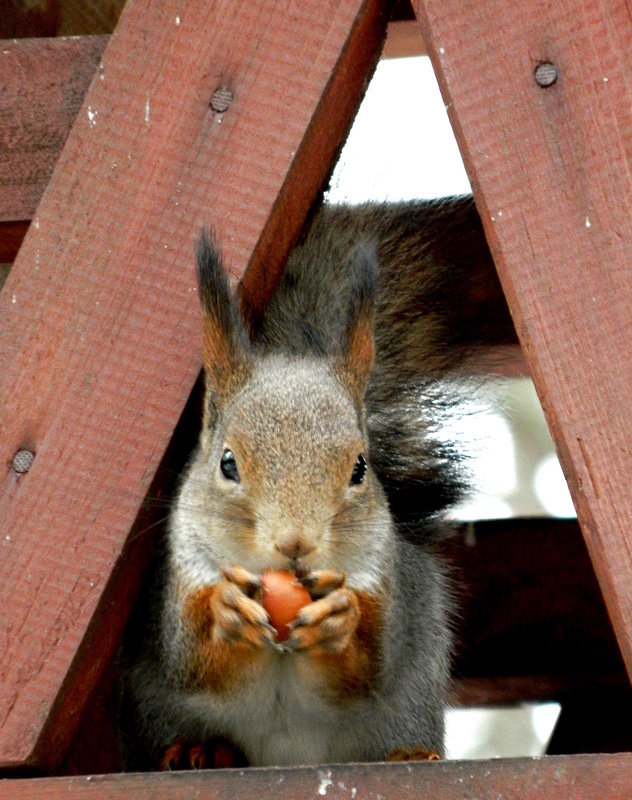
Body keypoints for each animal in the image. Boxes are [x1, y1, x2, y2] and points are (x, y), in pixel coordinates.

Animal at [119, 194, 512, 768]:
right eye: (227, 463)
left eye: (360, 468)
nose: (296, 545)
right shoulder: (179, 578)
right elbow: (190, 656)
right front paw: (225, 613)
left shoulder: (383, 581)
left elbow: (366, 667)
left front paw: (338, 619)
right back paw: (203, 749)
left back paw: (409, 756)